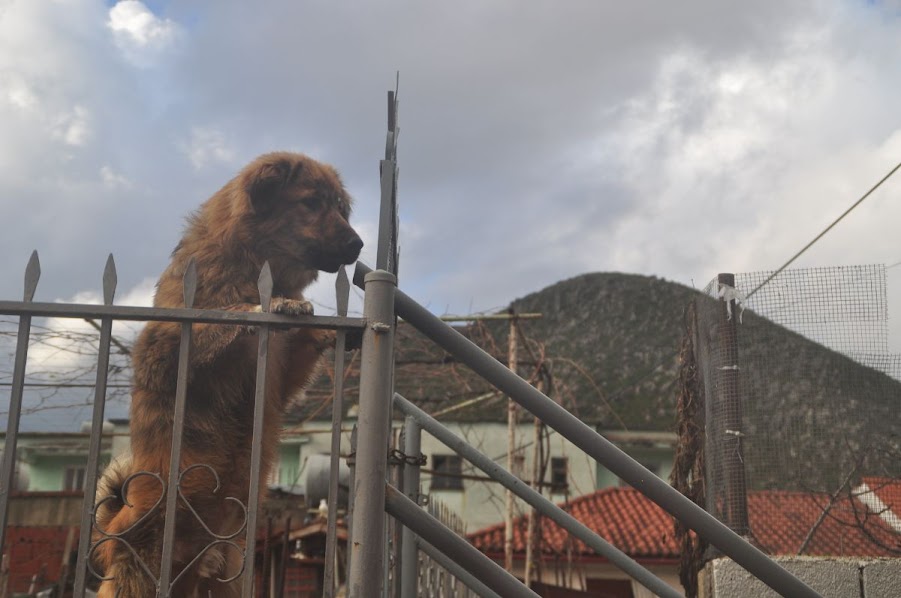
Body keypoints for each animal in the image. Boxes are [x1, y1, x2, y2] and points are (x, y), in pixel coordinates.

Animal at [94, 154, 362, 598]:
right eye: (311, 203)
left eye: (340, 209)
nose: (358, 245)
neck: (251, 268)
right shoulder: (160, 351)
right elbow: (227, 316)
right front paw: (269, 306)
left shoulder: (283, 377)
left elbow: (303, 346)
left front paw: (323, 328)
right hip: (143, 574)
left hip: (229, 572)